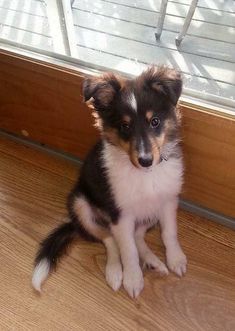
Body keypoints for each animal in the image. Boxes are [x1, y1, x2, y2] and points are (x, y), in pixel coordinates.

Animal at [32, 66, 187, 300]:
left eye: (155, 121)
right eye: (125, 126)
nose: (145, 160)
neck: (145, 175)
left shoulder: (167, 201)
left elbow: (169, 233)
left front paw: (176, 259)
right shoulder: (120, 213)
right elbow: (127, 250)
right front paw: (132, 279)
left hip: (148, 212)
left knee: (137, 235)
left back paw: (153, 262)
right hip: (81, 206)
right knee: (110, 240)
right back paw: (115, 272)